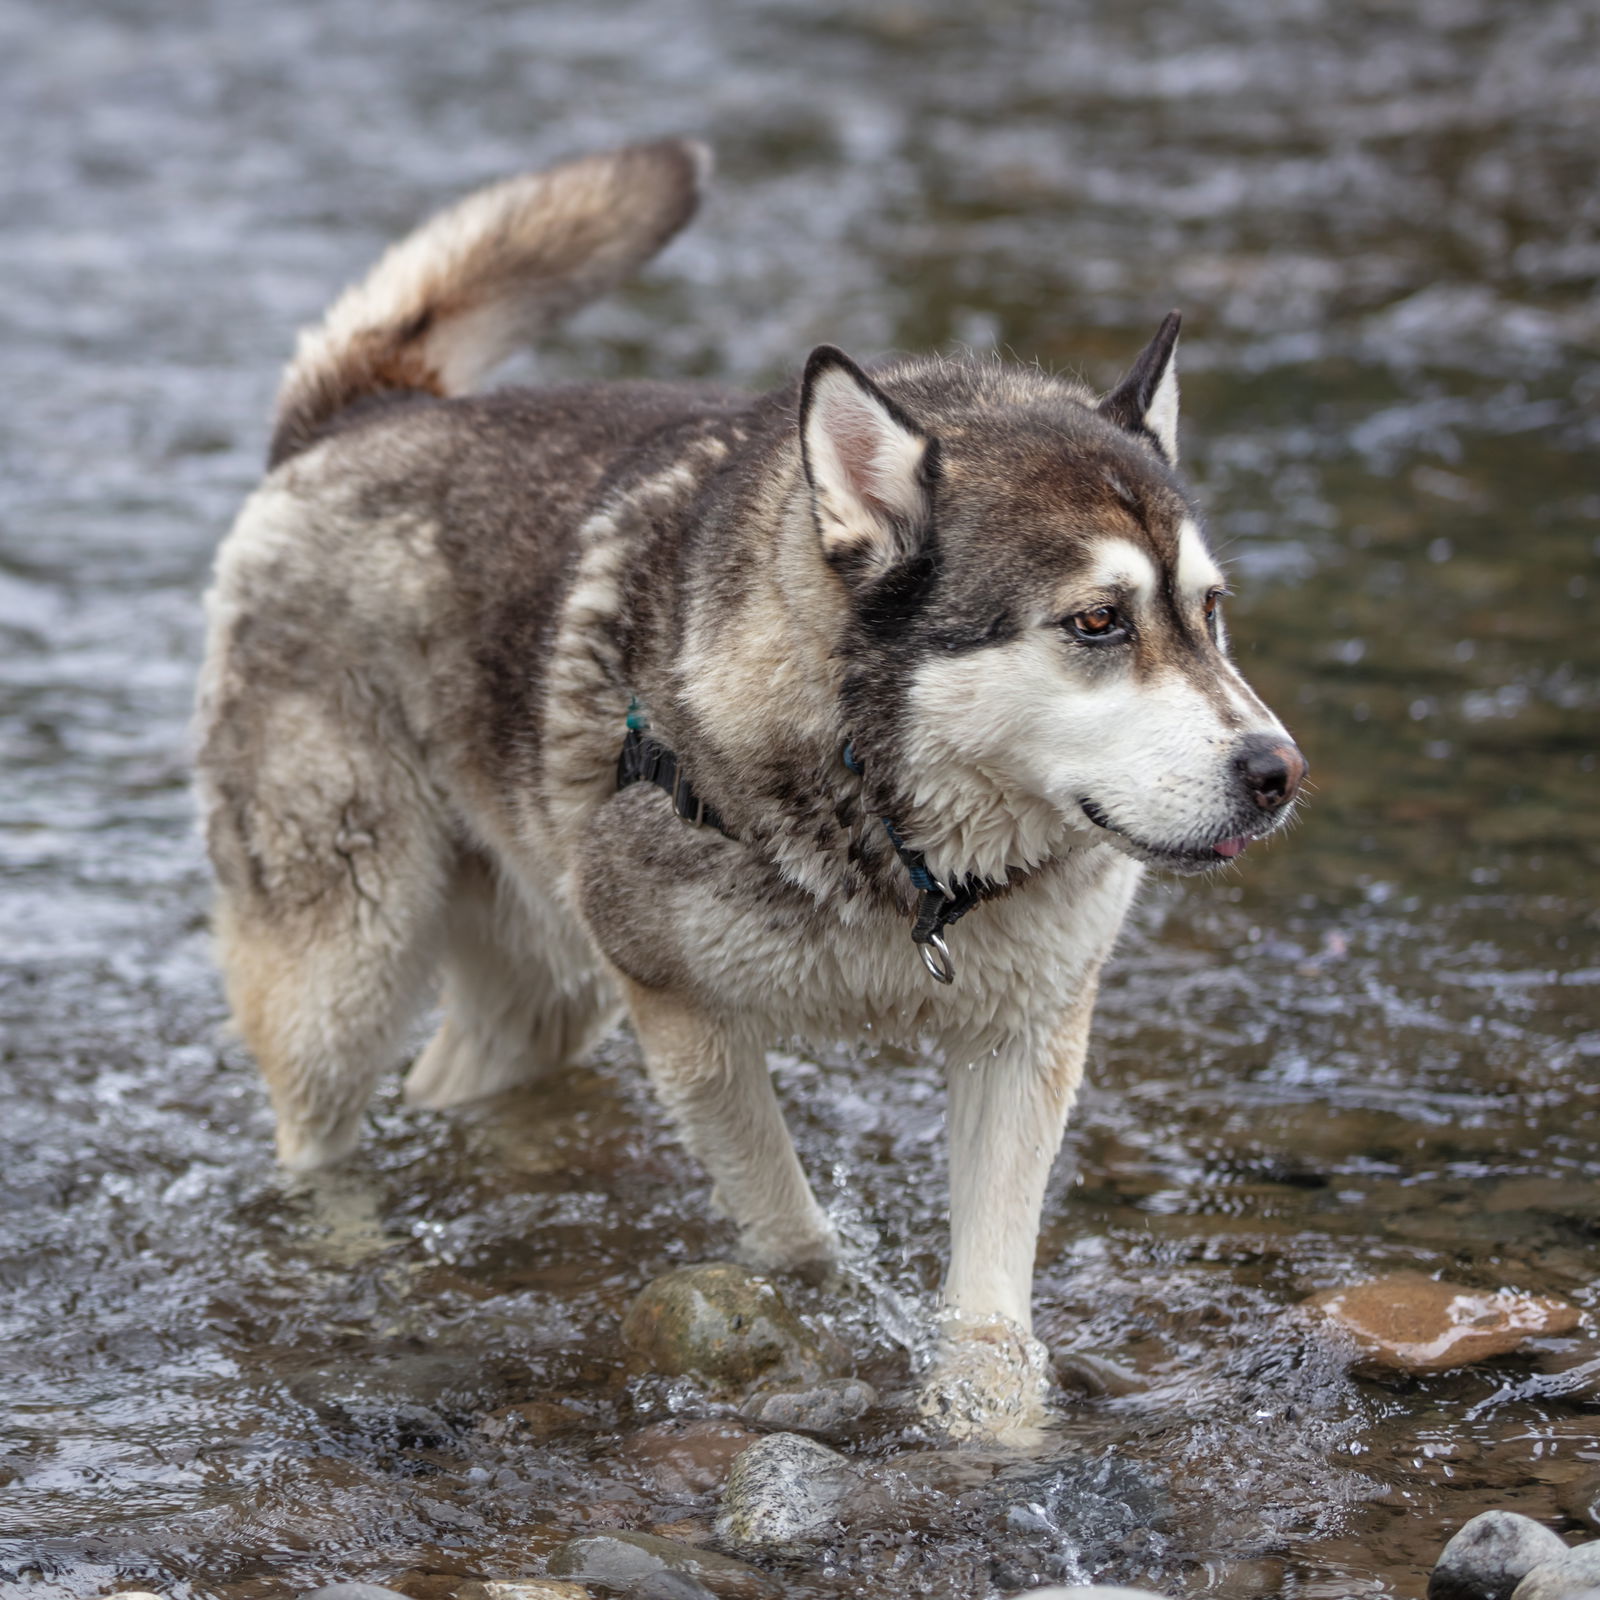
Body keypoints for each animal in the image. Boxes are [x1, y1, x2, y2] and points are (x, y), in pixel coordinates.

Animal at [196, 140, 1299, 1440]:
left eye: (1209, 612)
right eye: (1095, 622)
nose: (1277, 771)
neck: (895, 852)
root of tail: (370, 410)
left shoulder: (1024, 1038)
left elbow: (989, 1288)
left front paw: (989, 1416)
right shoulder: (685, 1020)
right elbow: (794, 1235)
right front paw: (818, 1315)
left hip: (539, 991)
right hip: (344, 966)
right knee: (317, 1139)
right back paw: (353, 1254)